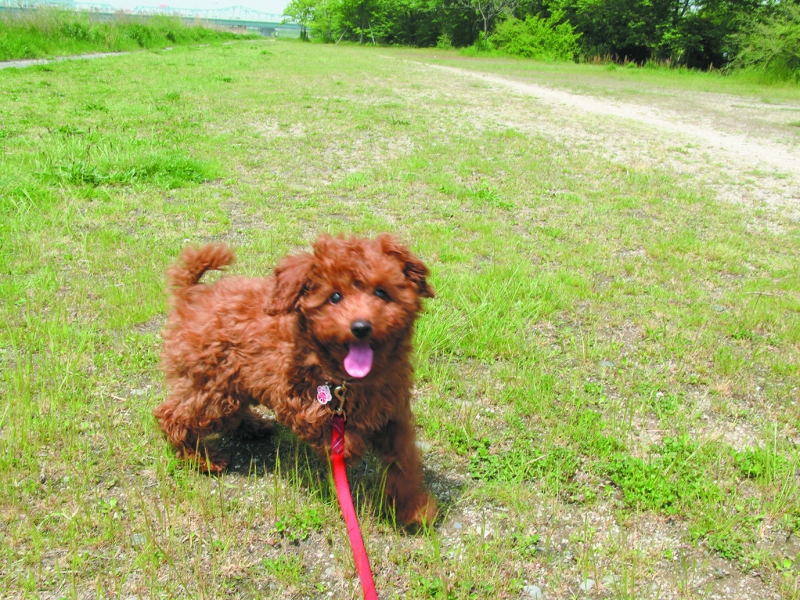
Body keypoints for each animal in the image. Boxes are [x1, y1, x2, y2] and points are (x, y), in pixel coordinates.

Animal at [154, 234, 437, 526]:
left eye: (381, 292)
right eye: (335, 297)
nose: (361, 327)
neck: (348, 380)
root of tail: (191, 295)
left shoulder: (392, 411)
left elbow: (404, 461)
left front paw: (414, 508)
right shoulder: (297, 393)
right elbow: (328, 428)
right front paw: (346, 448)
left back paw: (252, 427)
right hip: (213, 385)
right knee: (172, 415)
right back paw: (202, 458)